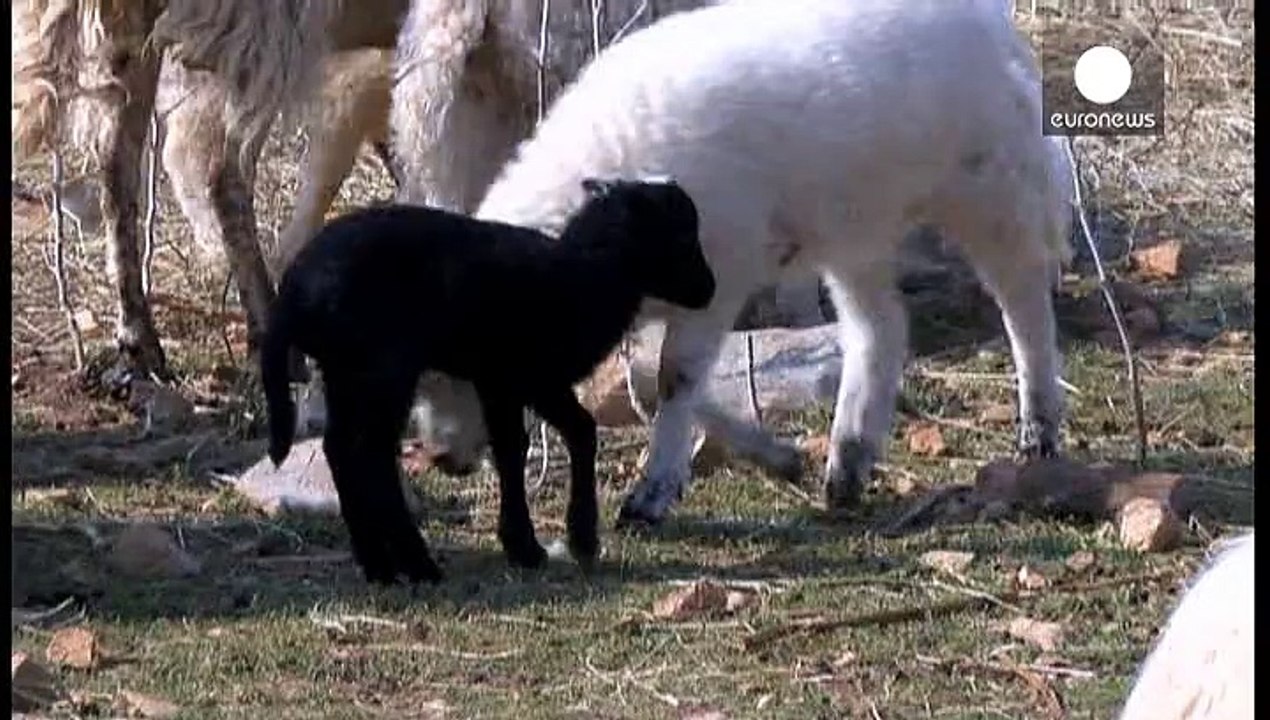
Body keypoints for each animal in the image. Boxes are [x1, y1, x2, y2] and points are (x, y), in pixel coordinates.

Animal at [261, 177, 716, 583]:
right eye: (682, 238)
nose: (709, 290)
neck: (587, 274)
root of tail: (294, 291)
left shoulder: (501, 381)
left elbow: (520, 446)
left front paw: (530, 545)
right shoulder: (534, 375)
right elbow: (572, 433)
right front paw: (575, 539)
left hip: (345, 370)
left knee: (339, 447)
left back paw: (377, 565)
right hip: (385, 367)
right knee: (370, 452)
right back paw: (417, 564)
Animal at [408, 0, 1075, 527]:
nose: (441, 459)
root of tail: (994, 21)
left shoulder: (720, 272)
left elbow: (673, 377)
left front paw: (651, 495)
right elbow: (654, 378)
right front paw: (777, 458)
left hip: (988, 183)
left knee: (1022, 295)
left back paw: (1037, 427)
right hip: (852, 223)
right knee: (881, 328)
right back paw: (847, 462)